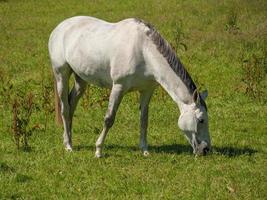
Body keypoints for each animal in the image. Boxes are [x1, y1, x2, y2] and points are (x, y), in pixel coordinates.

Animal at [48, 16, 211, 158]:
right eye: (201, 120)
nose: (205, 149)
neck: (143, 50)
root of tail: (59, 28)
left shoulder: (147, 90)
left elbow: (144, 120)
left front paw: (145, 150)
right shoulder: (119, 87)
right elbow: (109, 118)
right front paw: (98, 150)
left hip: (81, 81)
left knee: (71, 106)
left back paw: (68, 140)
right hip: (61, 75)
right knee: (65, 109)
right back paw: (68, 146)